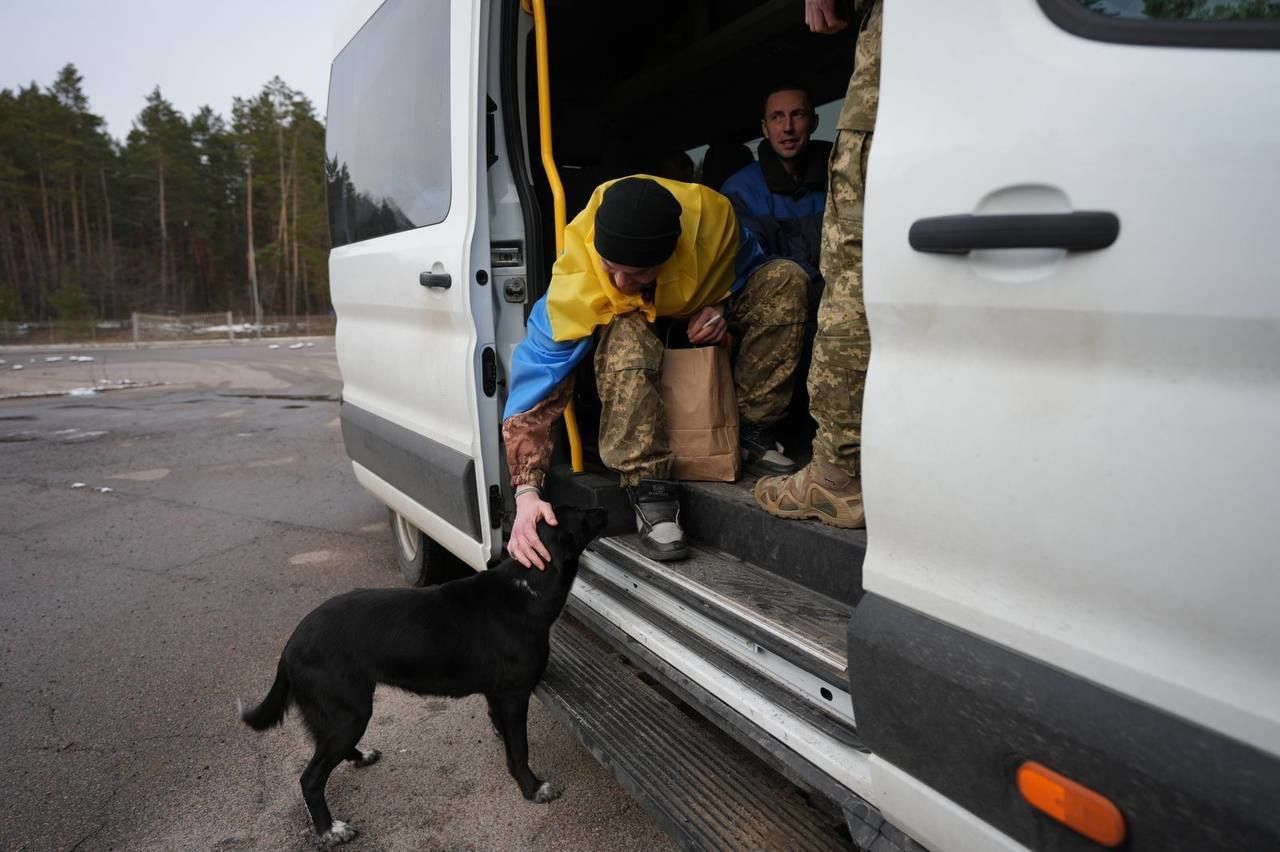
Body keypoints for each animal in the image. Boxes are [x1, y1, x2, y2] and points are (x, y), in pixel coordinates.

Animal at [240, 504, 609, 844]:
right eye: (583, 515)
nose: (604, 508)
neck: (528, 584)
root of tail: (292, 643)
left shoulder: (497, 693)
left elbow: (503, 732)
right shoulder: (515, 694)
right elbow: (520, 749)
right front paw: (532, 788)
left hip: (340, 713)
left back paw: (361, 758)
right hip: (349, 712)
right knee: (311, 778)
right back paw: (330, 829)